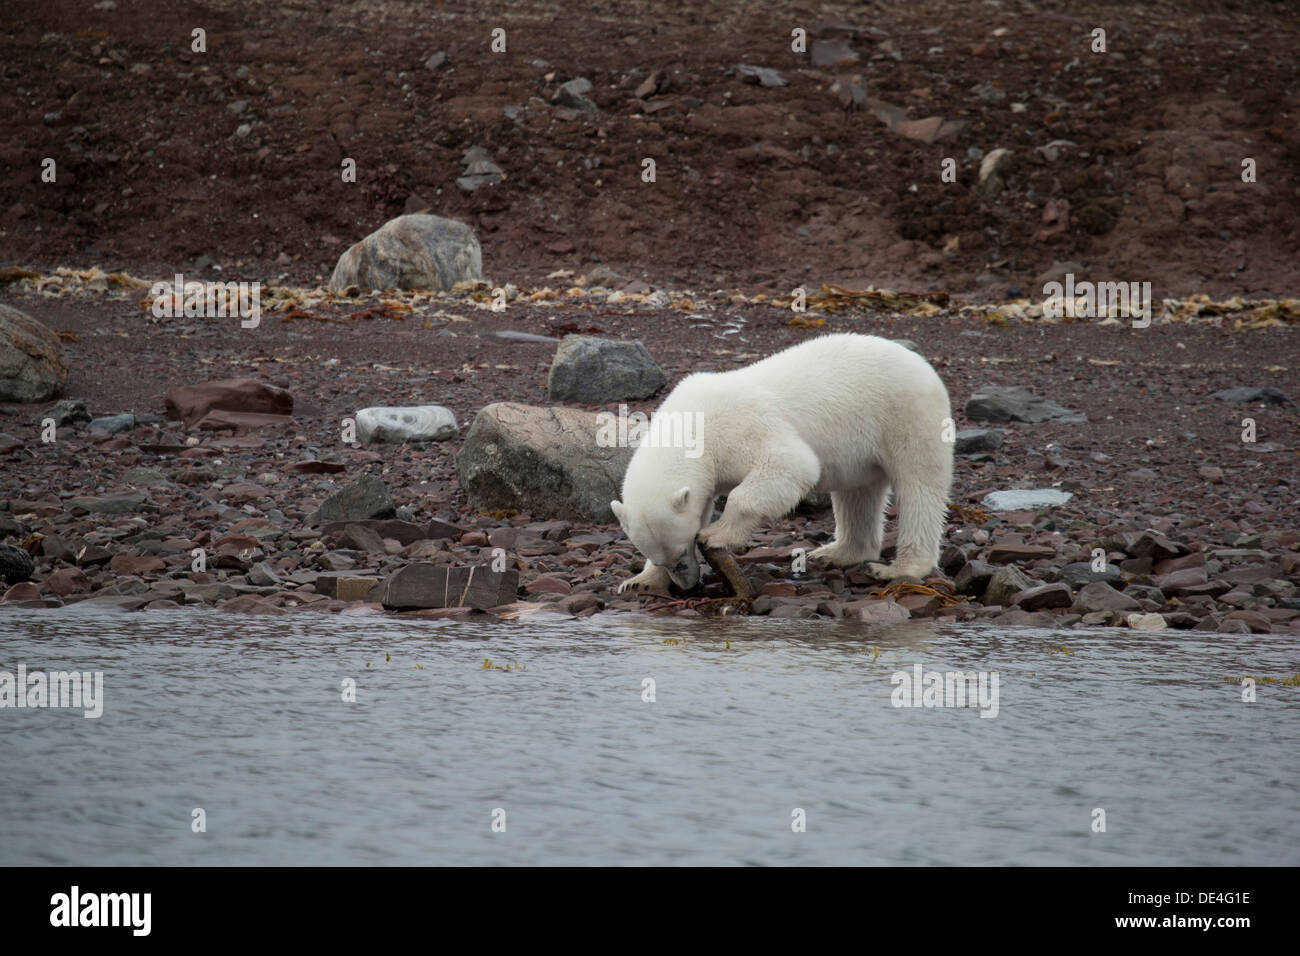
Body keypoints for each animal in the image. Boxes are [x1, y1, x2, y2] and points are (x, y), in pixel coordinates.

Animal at [608, 335, 956, 590]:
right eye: (664, 559)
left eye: (684, 551)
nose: (687, 583)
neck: (692, 422)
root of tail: (923, 364)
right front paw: (638, 581)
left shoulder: (739, 426)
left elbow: (791, 464)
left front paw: (716, 533)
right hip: (861, 450)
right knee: (857, 494)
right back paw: (836, 553)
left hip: (907, 416)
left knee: (919, 486)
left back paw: (899, 568)